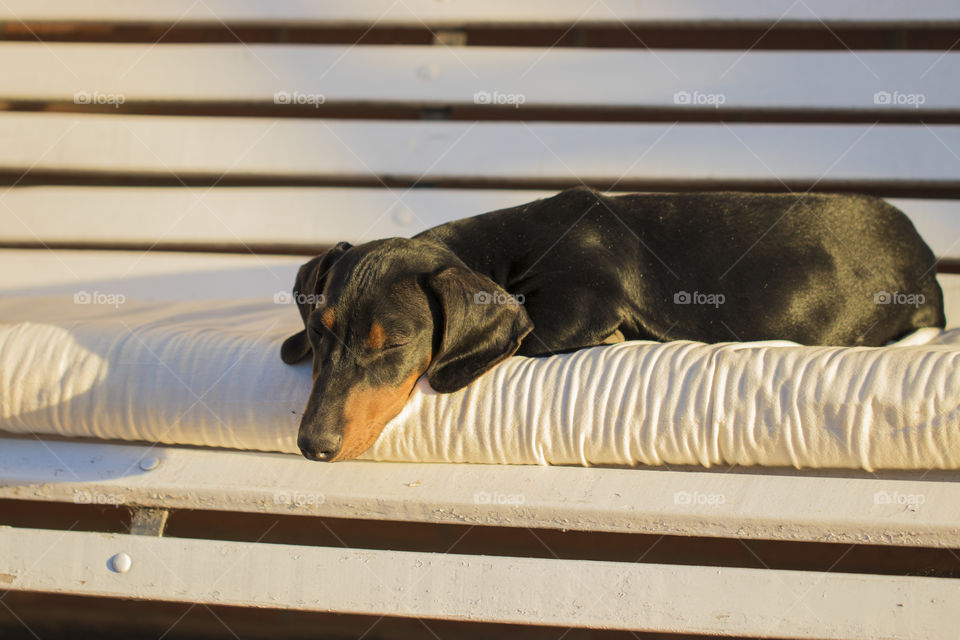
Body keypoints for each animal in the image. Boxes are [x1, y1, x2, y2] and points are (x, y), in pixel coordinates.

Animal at [280, 185, 944, 460]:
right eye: (318, 333)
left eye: (393, 344)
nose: (312, 447)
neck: (497, 252)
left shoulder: (585, 302)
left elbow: (537, 334)